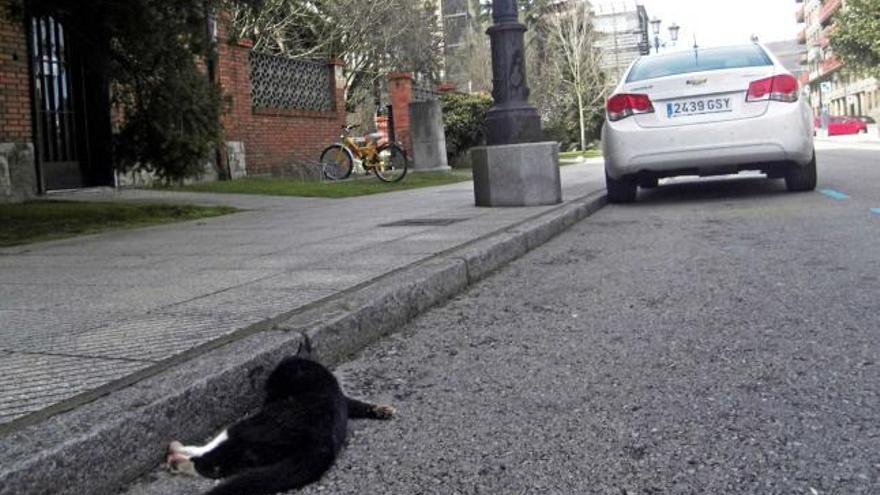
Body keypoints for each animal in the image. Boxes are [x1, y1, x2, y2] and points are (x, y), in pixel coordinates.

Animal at [167, 340, 394, 495]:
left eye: (273, 380)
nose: (268, 387)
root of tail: (321, 443)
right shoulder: (343, 399)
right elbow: (358, 404)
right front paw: (381, 410)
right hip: (259, 452)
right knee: (221, 466)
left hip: (248, 427)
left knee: (211, 460)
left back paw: (179, 455)